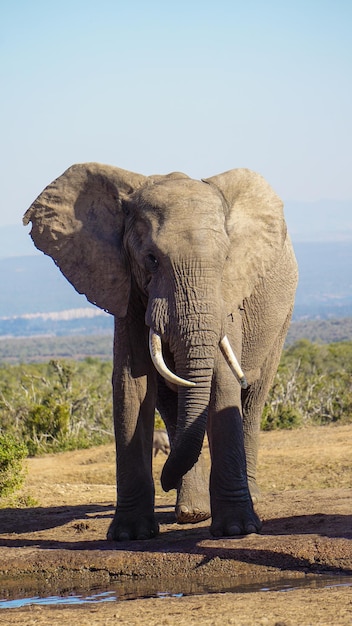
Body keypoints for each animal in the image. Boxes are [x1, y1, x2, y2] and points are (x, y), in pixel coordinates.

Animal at [23, 163, 296, 540]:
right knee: (171, 405)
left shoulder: (228, 296)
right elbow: (131, 383)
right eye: (151, 259)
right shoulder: (126, 289)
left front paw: (236, 530)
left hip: (281, 320)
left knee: (253, 400)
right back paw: (192, 513)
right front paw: (130, 534)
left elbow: (223, 379)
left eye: (226, 258)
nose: (165, 479)